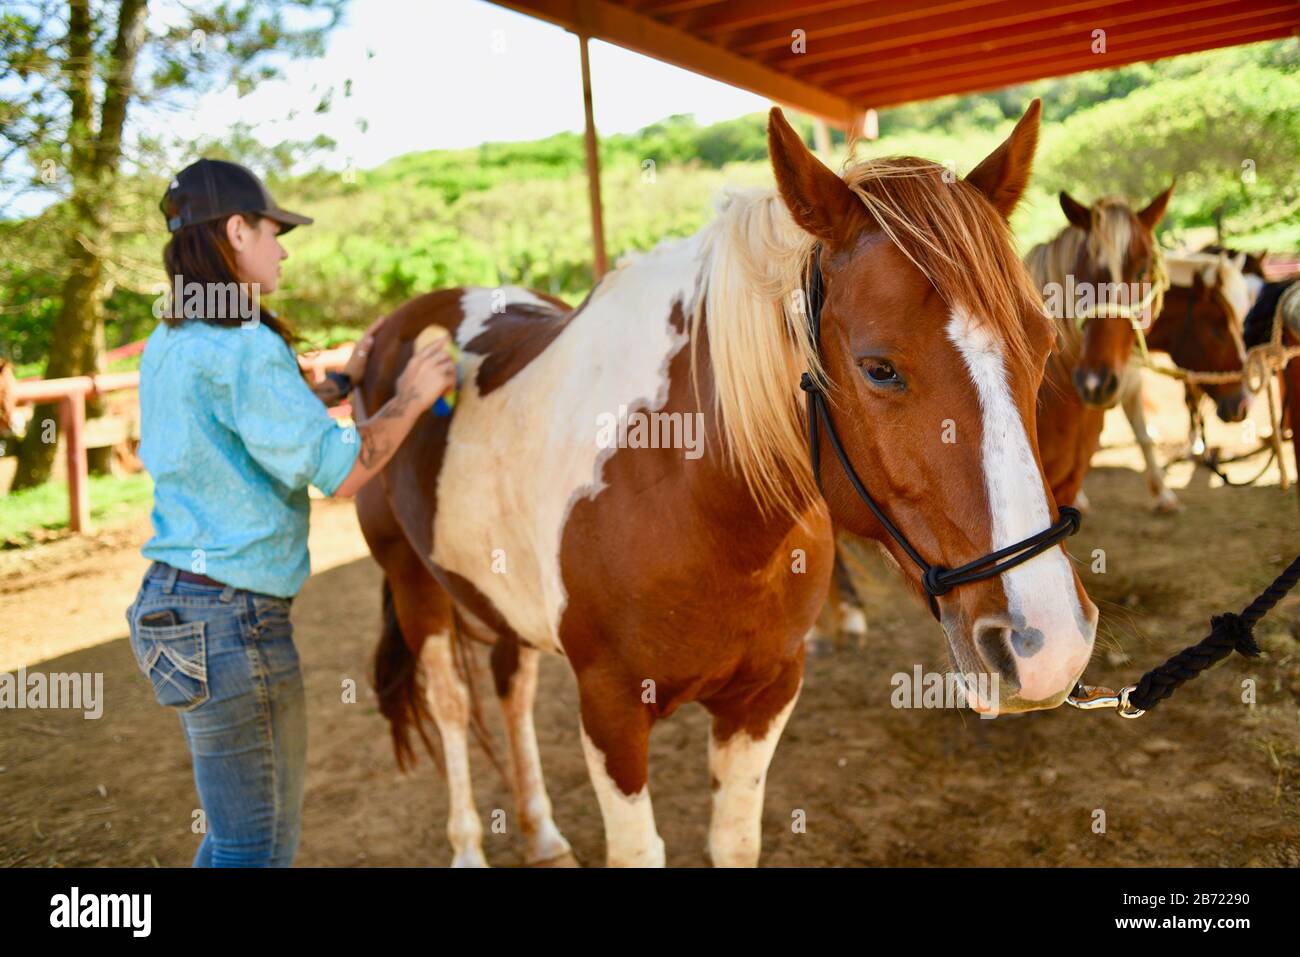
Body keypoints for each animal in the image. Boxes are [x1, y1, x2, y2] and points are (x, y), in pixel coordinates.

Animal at [356, 101, 1097, 868]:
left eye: (1043, 345)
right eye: (879, 368)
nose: (1049, 643)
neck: (691, 498)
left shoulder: (763, 696)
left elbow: (734, 840)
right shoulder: (611, 714)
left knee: (513, 686)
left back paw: (540, 830)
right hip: (414, 585)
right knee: (449, 706)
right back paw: (470, 844)